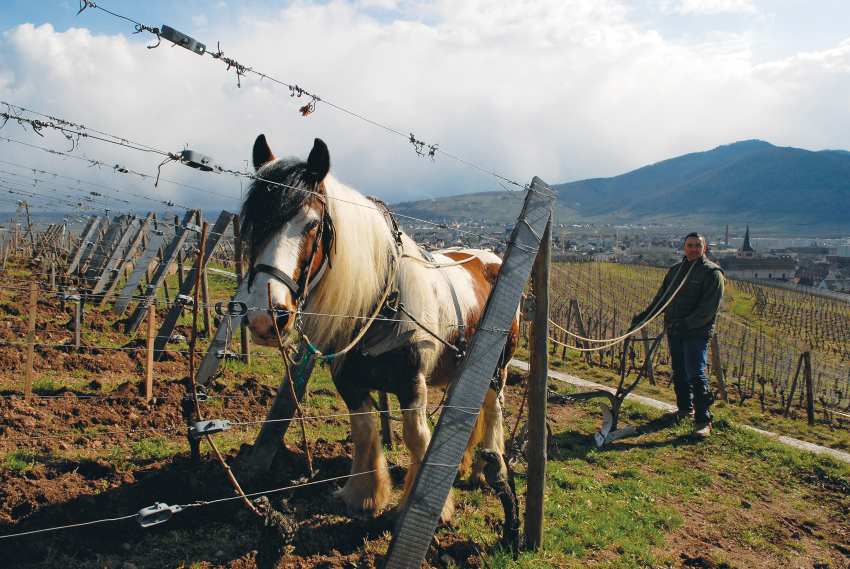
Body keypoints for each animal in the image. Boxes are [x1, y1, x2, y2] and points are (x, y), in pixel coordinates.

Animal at [238, 133, 516, 520]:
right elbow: (365, 430)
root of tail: (489, 258)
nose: (265, 317)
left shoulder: (412, 383)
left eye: (312, 224)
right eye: (254, 223)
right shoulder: (348, 381)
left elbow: (416, 436)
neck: (384, 300)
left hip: (497, 368)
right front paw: (363, 495)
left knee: (491, 410)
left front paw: (425, 507)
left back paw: (483, 470)